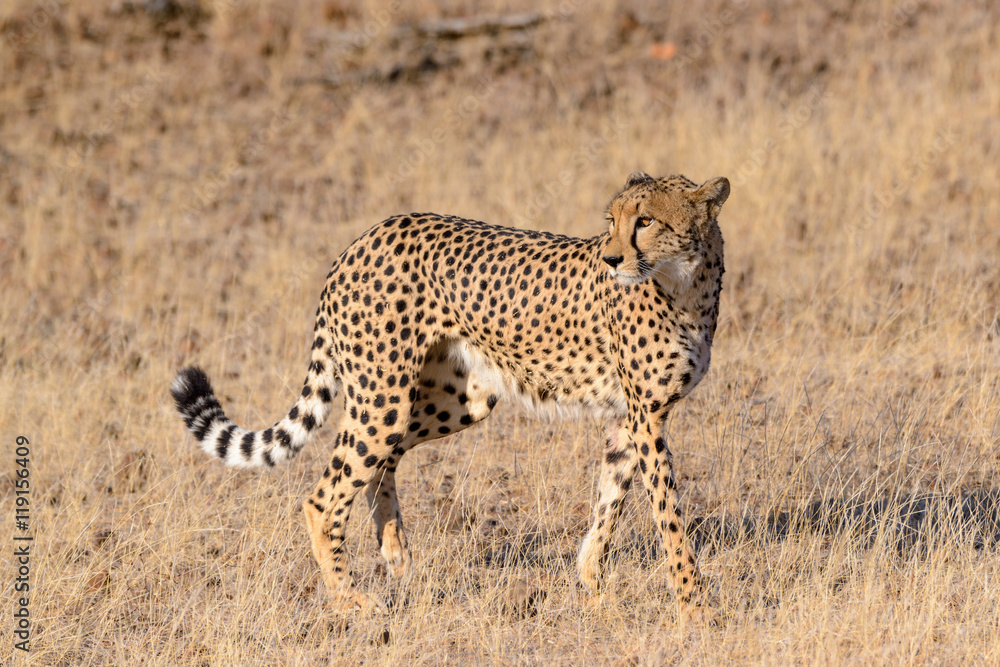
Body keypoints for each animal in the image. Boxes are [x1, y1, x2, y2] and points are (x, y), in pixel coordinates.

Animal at [174, 171, 728, 616]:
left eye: (646, 221)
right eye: (613, 220)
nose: (612, 259)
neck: (686, 283)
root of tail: (363, 238)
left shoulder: (629, 418)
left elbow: (609, 502)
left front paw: (593, 586)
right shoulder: (646, 417)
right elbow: (668, 516)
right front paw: (694, 606)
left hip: (456, 399)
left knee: (380, 467)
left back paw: (400, 562)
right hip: (383, 396)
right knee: (324, 497)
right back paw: (350, 599)